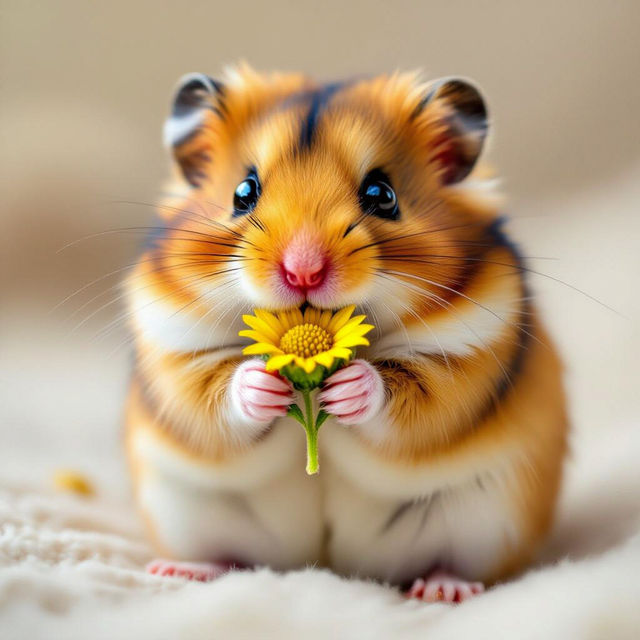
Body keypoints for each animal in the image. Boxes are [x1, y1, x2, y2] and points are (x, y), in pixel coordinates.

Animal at [124, 64, 567, 602]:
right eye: (242, 193)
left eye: (382, 196)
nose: (303, 271)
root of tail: (329, 563)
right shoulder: (174, 348)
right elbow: (214, 391)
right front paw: (264, 384)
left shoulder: (468, 352)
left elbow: (409, 396)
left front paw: (348, 387)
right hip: (188, 513)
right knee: (229, 558)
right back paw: (179, 571)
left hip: (488, 519)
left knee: (456, 563)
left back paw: (443, 590)